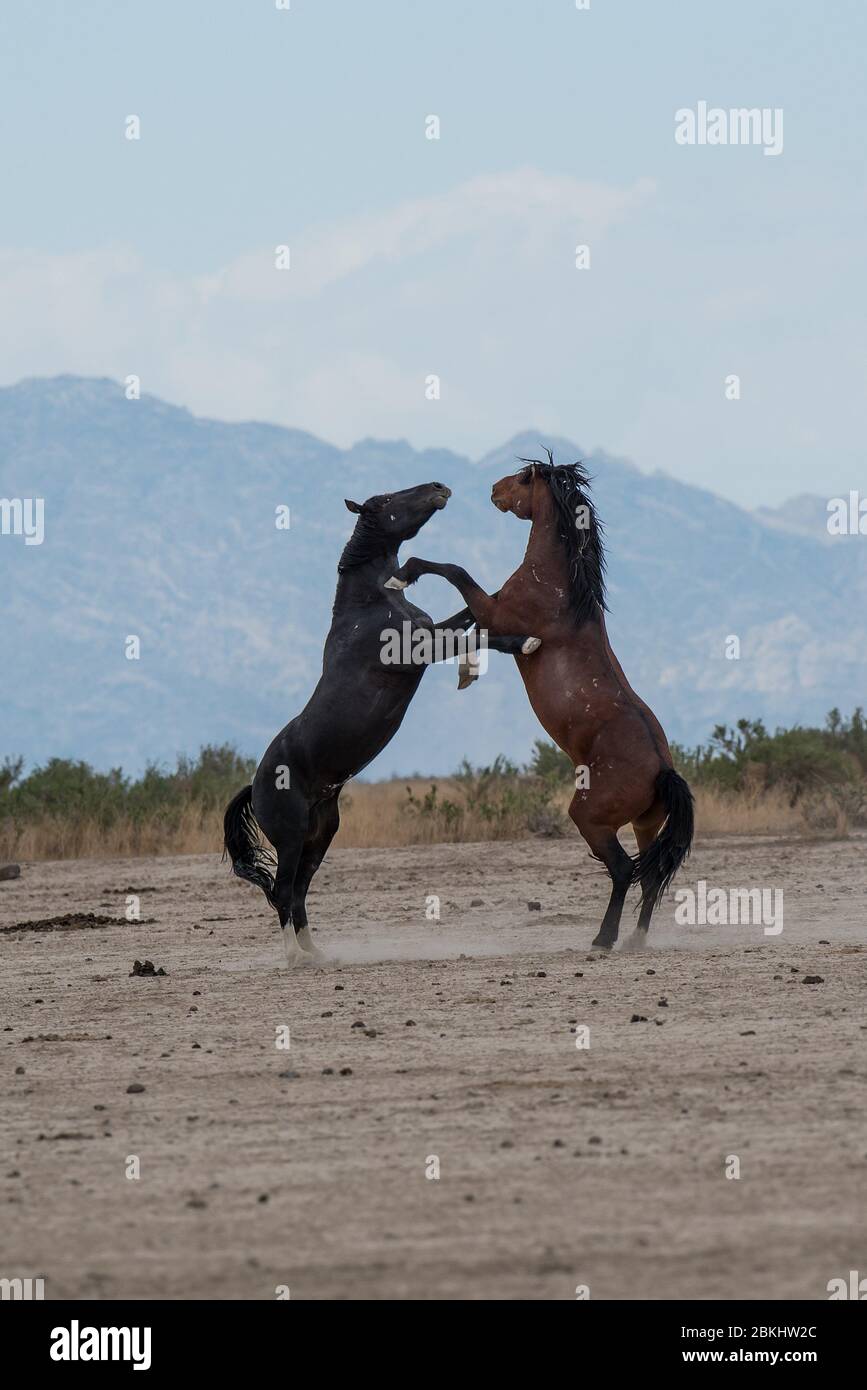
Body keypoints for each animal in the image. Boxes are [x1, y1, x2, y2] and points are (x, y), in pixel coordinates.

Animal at [219, 480, 539, 967]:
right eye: (387, 500)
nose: (439, 487)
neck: (371, 605)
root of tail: (254, 786)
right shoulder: (414, 652)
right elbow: (481, 634)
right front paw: (523, 643)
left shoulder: (428, 634)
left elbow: (468, 621)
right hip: (290, 839)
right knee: (282, 891)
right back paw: (295, 958)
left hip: (320, 835)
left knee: (298, 892)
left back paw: (318, 954)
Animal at [389, 450, 694, 950]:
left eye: (524, 477)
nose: (493, 489)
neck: (559, 588)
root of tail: (662, 771)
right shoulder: (493, 609)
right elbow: (466, 617)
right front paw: (462, 666)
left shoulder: (498, 611)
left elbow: (459, 577)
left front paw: (402, 577)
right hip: (645, 824)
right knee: (650, 875)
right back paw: (635, 939)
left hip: (590, 817)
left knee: (623, 870)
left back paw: (603, 938)